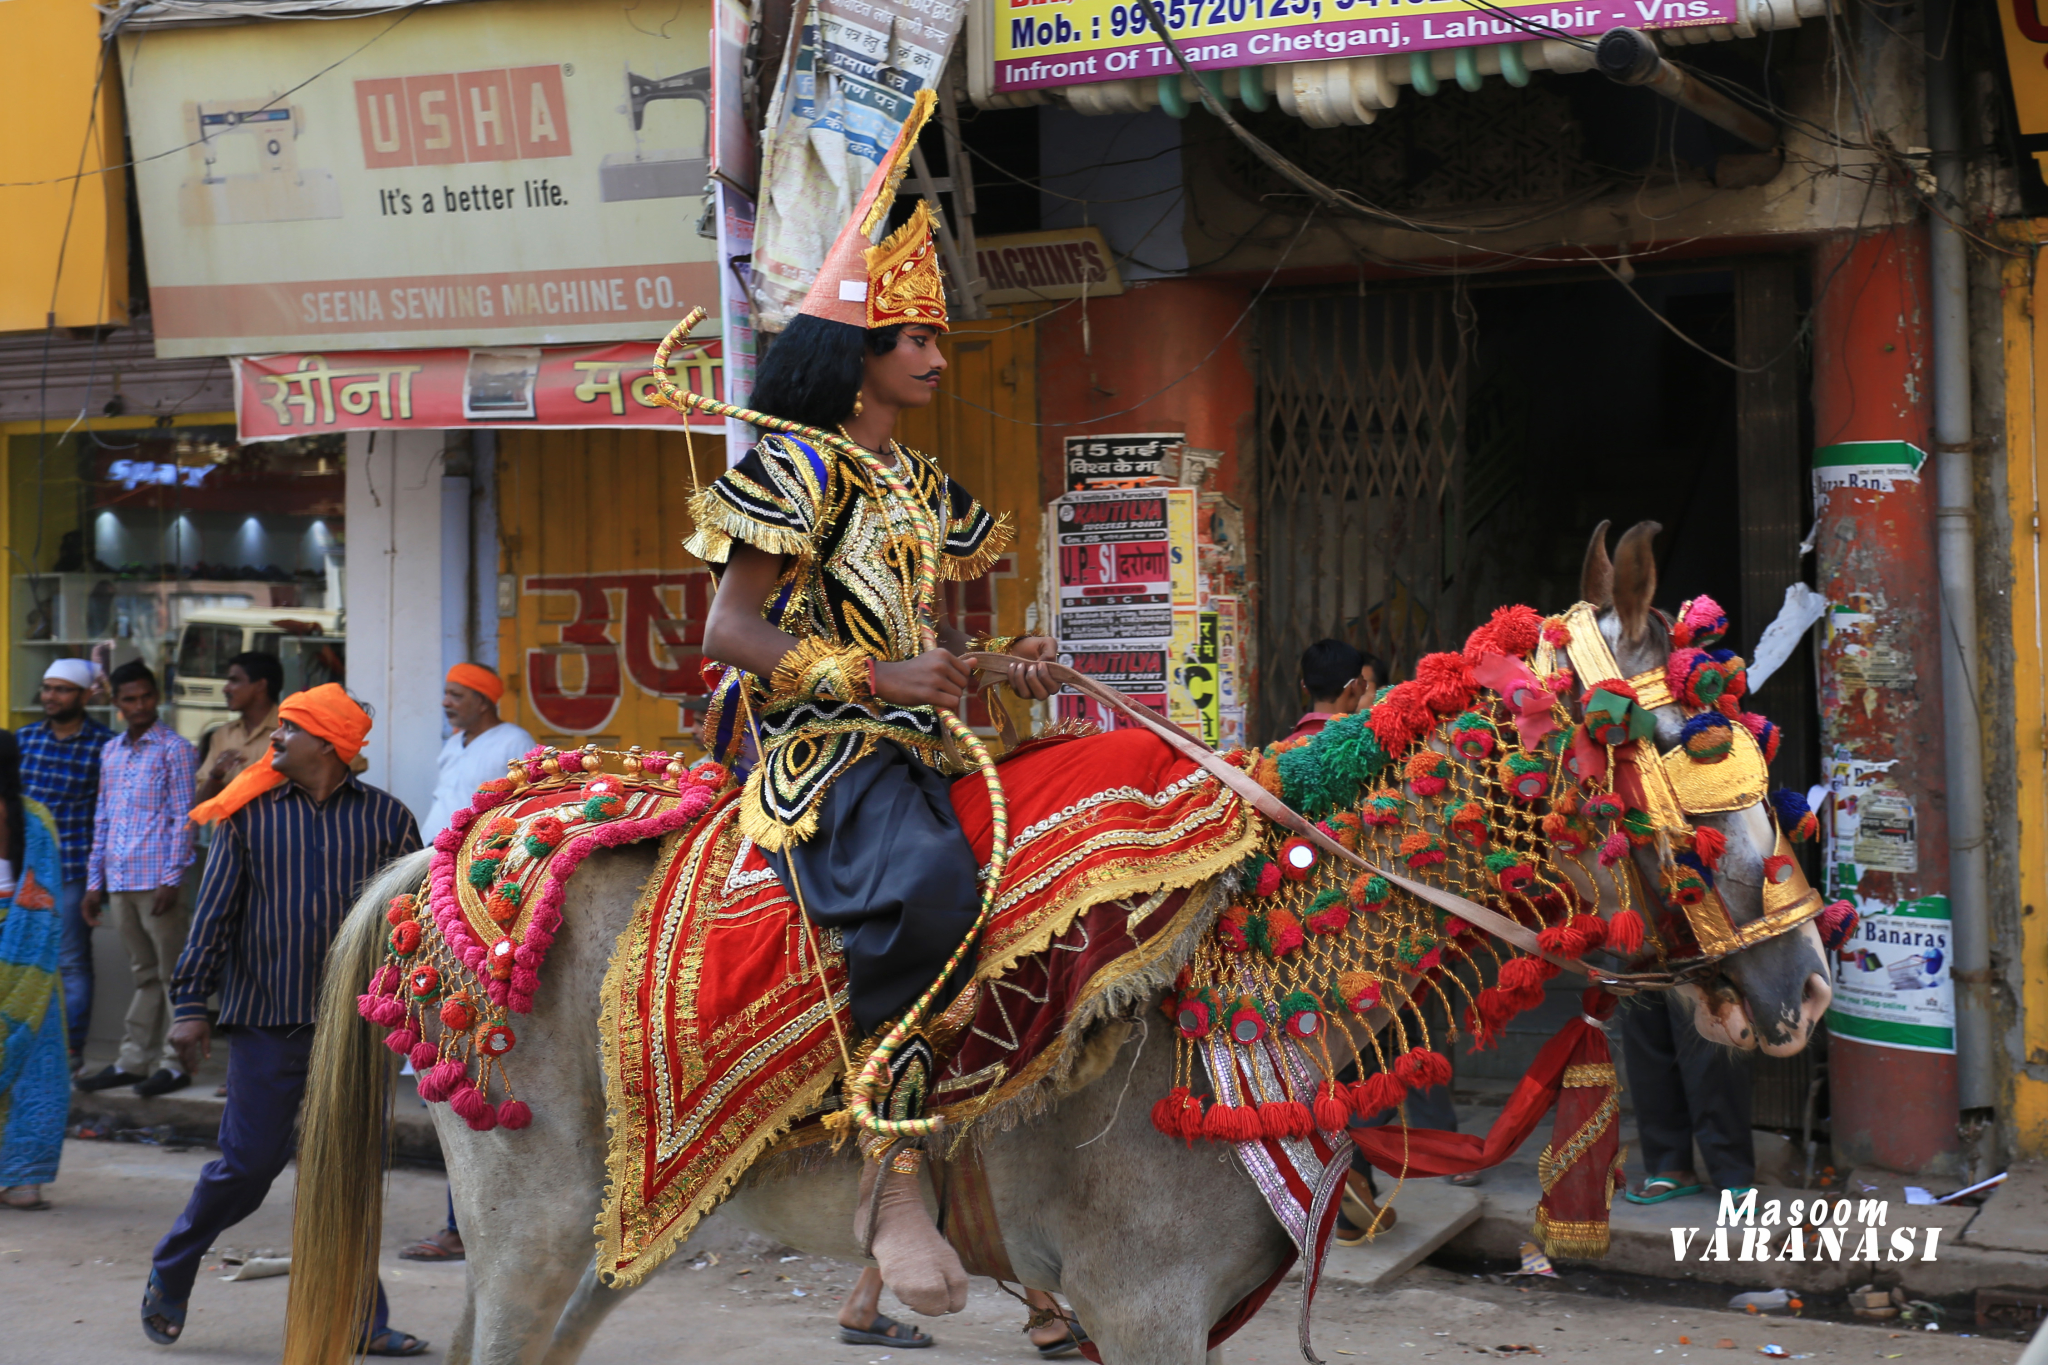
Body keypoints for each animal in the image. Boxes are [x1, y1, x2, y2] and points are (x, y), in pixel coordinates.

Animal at [280, 523, 1835, 1365]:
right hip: (537, 1224)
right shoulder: (1142, 1306)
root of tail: (446, 853)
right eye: (1690, 776)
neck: (1249, 971)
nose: (1805, 985)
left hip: (604, 1248)